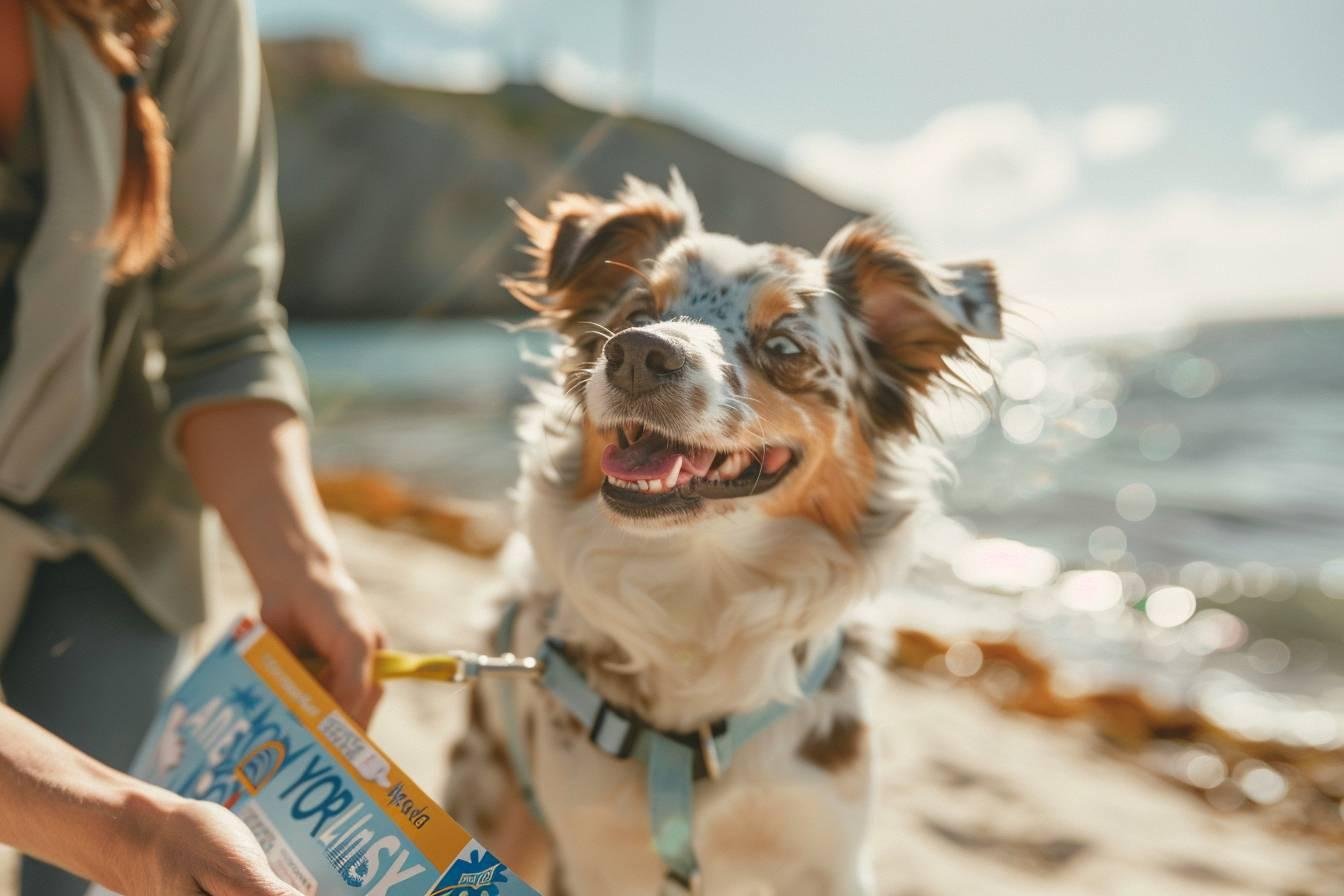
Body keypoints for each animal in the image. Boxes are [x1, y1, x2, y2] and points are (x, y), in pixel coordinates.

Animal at [446, 171, 1005, 891]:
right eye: (635, 312)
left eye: (785, 347)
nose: (637, 354)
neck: (702, 582)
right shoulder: (592, 855)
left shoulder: (826, 848)